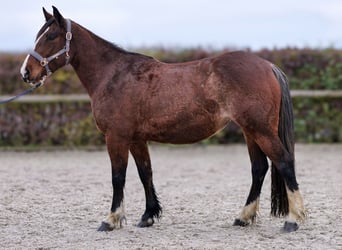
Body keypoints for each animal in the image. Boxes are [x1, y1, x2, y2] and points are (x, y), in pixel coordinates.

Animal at [20, 6, 306, 232]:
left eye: (52, 36)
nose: (26, 72)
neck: (114, 75)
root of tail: (268, 66)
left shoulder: (116, 137)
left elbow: (118, 176)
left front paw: (111, 220)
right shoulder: (136, 139)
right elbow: (145, 173)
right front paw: (148, 216)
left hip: (260, 130)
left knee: (284, 161)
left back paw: (293, 220)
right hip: (250, 131)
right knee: (259, 168)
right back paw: (243, 217)